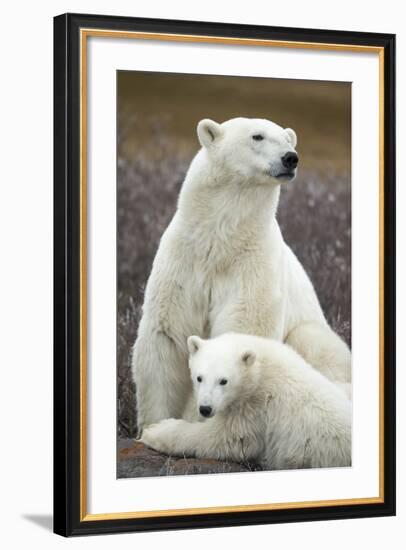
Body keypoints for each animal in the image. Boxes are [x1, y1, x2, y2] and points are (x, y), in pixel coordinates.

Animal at [132, 116, 348, 436]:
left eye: (288, 139)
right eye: (257, 136)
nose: (291, 158)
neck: (220, 241)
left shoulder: (251, 265)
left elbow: (242, 327)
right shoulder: (184, 261)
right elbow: (167, 336)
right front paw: (153, 426)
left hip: (314, 337)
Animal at [141, 332, 350, 470]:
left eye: (223, 381)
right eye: (199, 378)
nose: (205, 409)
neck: (260, 367)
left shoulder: (256, 407)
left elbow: (225, 438)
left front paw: (154, 431)